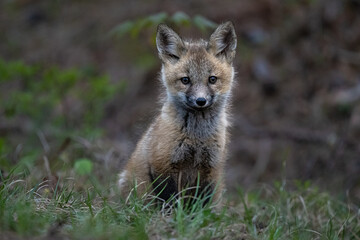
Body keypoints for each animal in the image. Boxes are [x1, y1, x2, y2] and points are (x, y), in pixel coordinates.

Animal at [118, 21, 236, 204]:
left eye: (212, 79)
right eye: (185, 80)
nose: (200, 101)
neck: (197, 137)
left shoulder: (211, 168)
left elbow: (202, 203)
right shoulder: (163, 165)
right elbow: (170, 200)